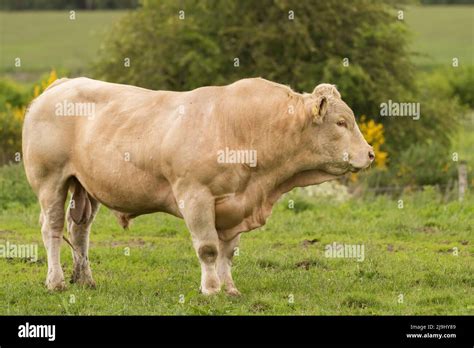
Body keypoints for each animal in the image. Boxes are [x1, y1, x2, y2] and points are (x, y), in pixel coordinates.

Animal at [22, 77, 374, 294]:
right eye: (341, 122)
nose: (370, 154)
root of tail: (62, 84)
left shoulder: (234, 204)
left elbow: (227, 252)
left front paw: (230, 288)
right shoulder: (195, 196)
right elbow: (208, 248)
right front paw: (211, 289)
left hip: (85, 186)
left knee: (79, 230)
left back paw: (85, 280)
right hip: (50, 180)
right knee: (53, 229)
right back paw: (56, 281)